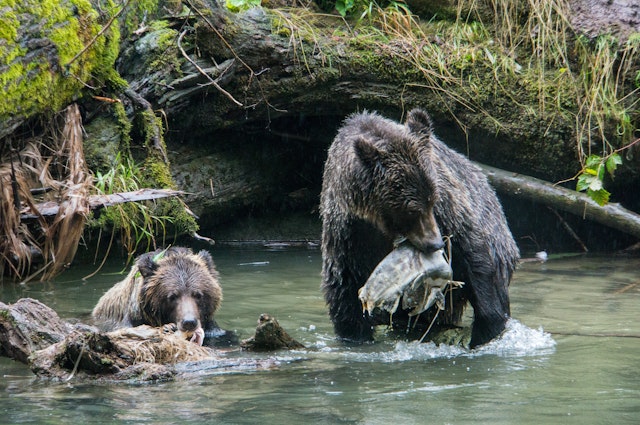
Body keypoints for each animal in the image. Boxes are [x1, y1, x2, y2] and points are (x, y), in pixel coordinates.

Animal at [320, 107, 520, 346]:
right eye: (411, 209)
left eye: (433, 199)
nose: (435, 243)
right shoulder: (347, 230)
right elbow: (344, 284)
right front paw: (355, 334)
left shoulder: (450, 209)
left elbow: (475, 255)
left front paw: (486, 329)